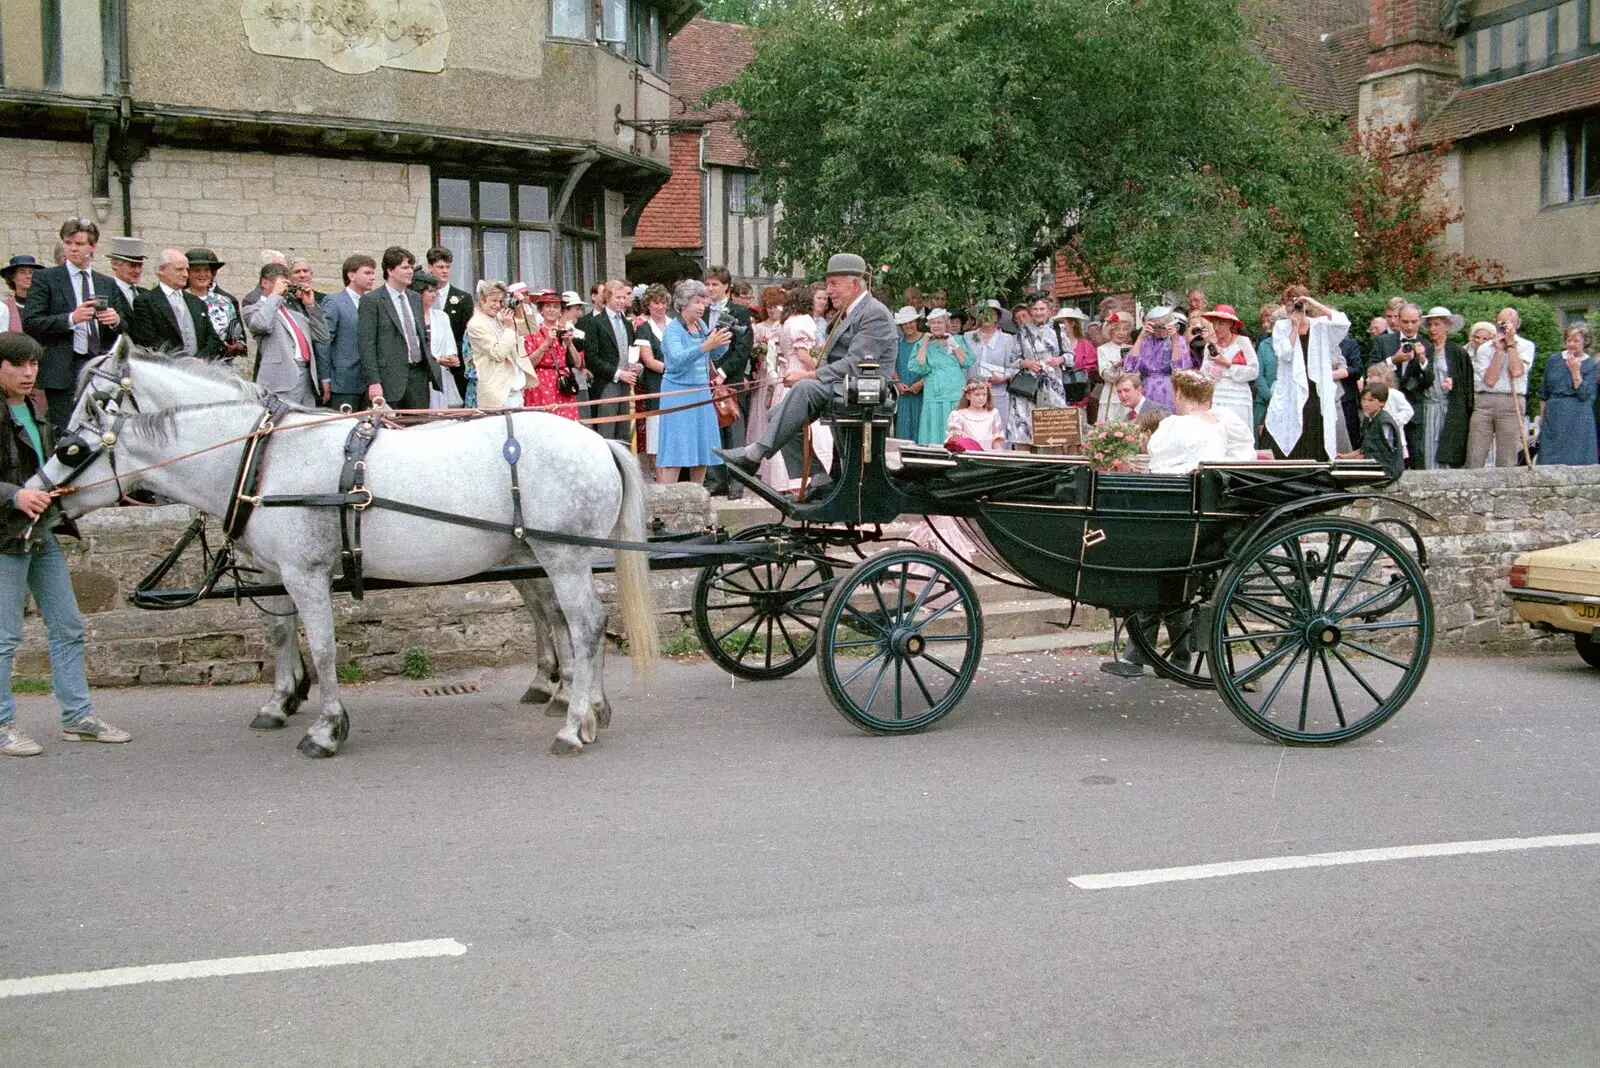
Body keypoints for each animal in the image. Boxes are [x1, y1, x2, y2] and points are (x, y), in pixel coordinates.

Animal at [42, 346, 656, 754]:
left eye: (73, 441)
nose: (35, 502)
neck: (263, 457)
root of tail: (599, 440)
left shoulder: (305, 571)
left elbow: (323, 646)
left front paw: (325, 727)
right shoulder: (277, 569)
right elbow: (281, 630)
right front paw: (281, 701)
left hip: (564, 555)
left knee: (585, 623)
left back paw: (574, 723)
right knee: (565, 618)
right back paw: (584, 704)